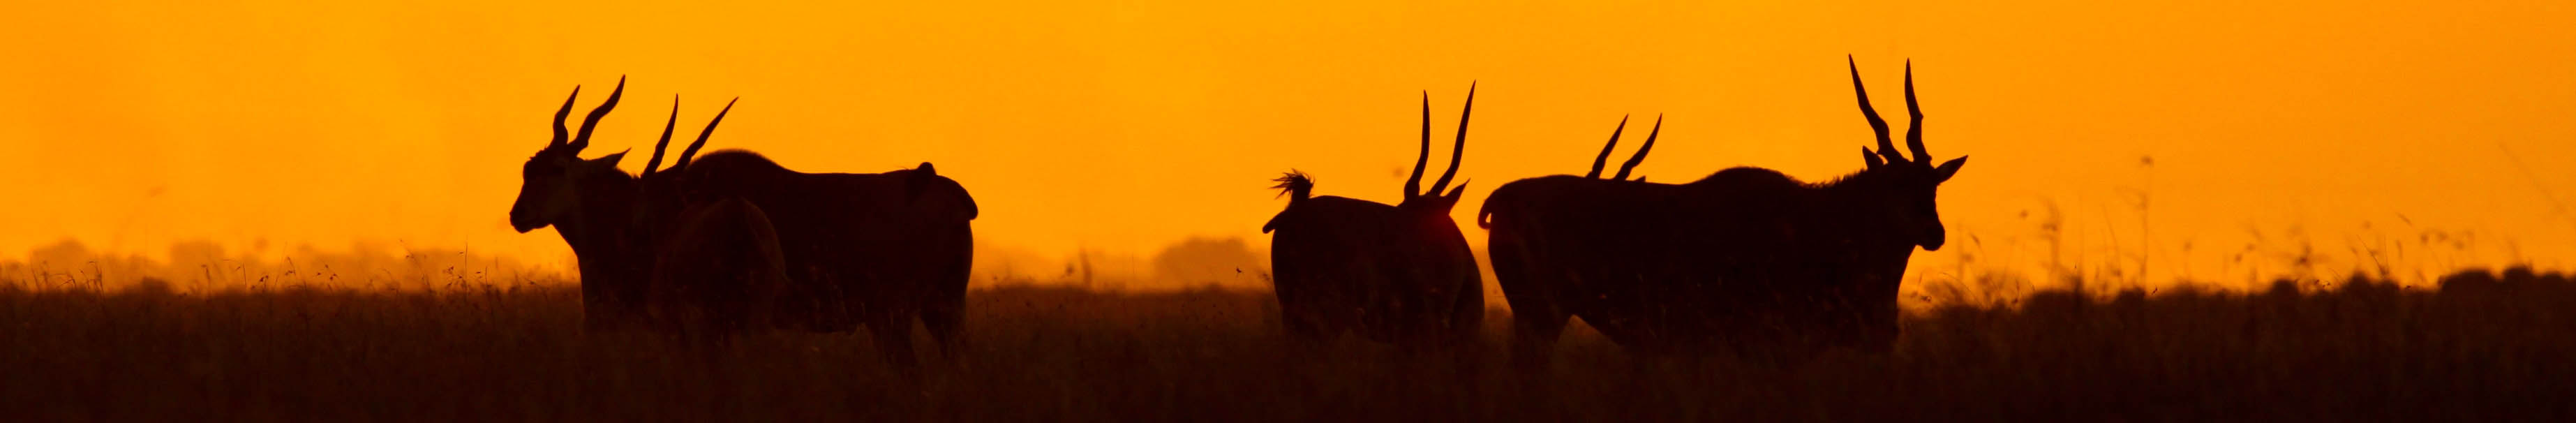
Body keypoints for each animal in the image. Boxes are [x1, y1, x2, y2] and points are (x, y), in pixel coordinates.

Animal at [1484, 57, 1958, 366]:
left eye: (1932, 185)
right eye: (1896, 184)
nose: (1934, 233)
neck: (1814, 222)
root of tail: (1503, 199)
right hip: (1539, 316)